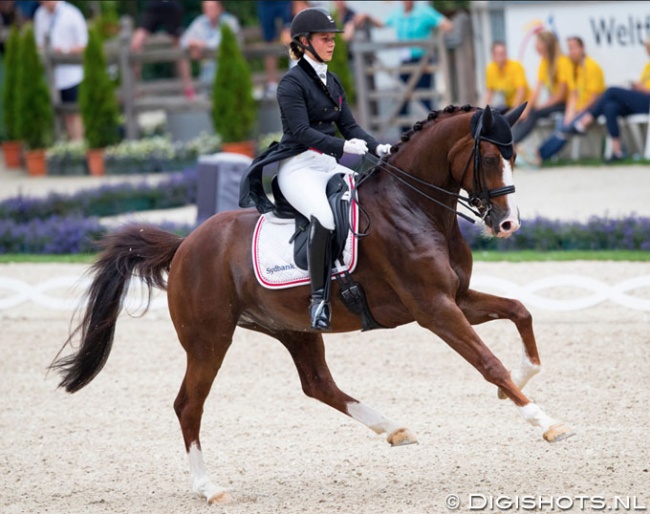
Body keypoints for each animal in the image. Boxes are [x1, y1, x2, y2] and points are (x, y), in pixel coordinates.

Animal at [54, 105, 572, 504]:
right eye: (489, 157)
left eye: (513, 156)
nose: (507, 224)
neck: (414, 207)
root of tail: (185, 245)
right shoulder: (434, 309)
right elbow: (488, 362)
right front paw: (545, 422)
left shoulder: (457, 297)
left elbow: (520, 311)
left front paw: (520, 385)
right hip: (209, 340)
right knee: (189, 405)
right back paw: (208, 487)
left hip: (293, 328)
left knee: (317, 384)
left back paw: (393, 429)